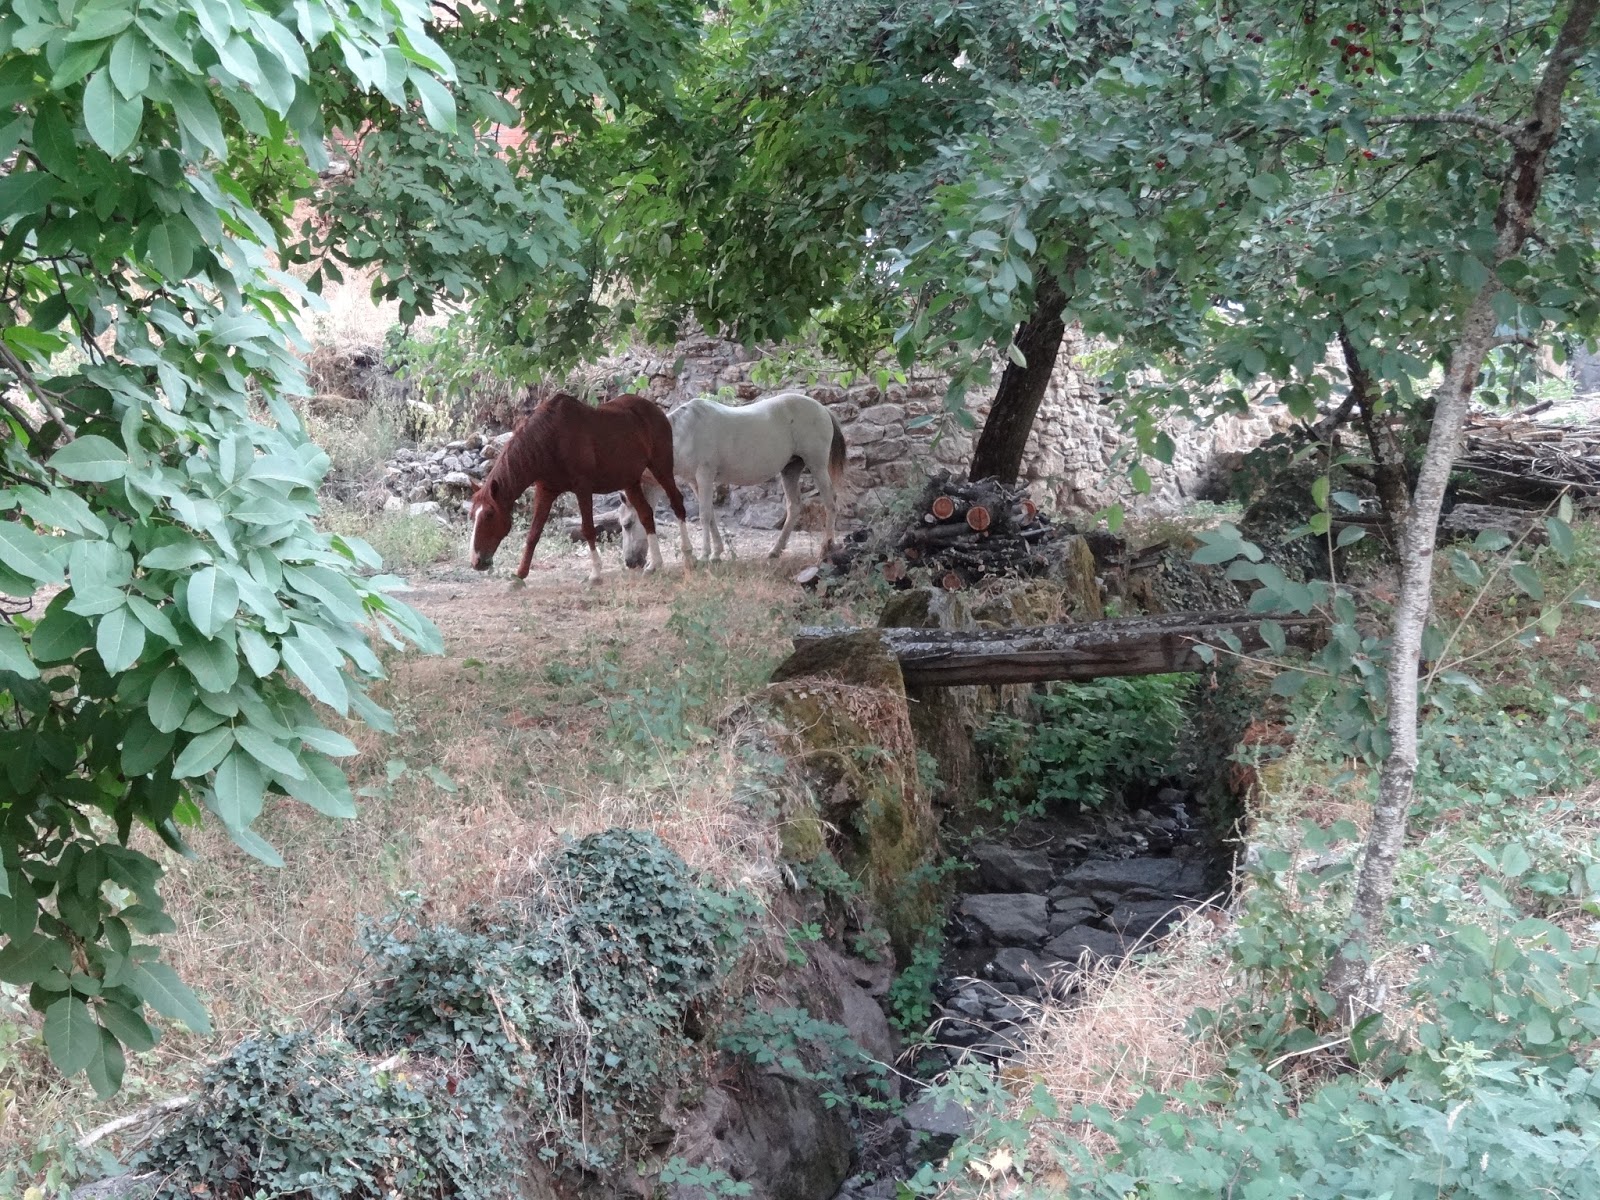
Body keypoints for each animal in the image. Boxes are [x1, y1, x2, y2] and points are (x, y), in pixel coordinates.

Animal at [468, 391, 693, 583]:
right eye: (472, 516)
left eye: (489, 515)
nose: (476, 561)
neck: (549, 439)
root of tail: (655, 410)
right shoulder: (546, 490)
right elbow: (534, 533)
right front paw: (519, 575)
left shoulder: (582, 488)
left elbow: (588, 529)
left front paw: (595, 574)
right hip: (631, 482)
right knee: (646, 514)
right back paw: (654, 564)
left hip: (661, 469)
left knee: (677, 503)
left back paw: (688, 555)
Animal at [618, 391, 846, 567]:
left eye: (627, 524)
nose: (630, 562)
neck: (683, 433)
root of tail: (823, 409)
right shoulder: (695, 482)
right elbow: (711, 515)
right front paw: (716, 553)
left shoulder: (705, 475)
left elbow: (704, 515)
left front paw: (704, 556)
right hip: (790, 469)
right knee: (794, 507)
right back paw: (775, 551)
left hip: (817, 465)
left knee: (830, 503)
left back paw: (825, 549)